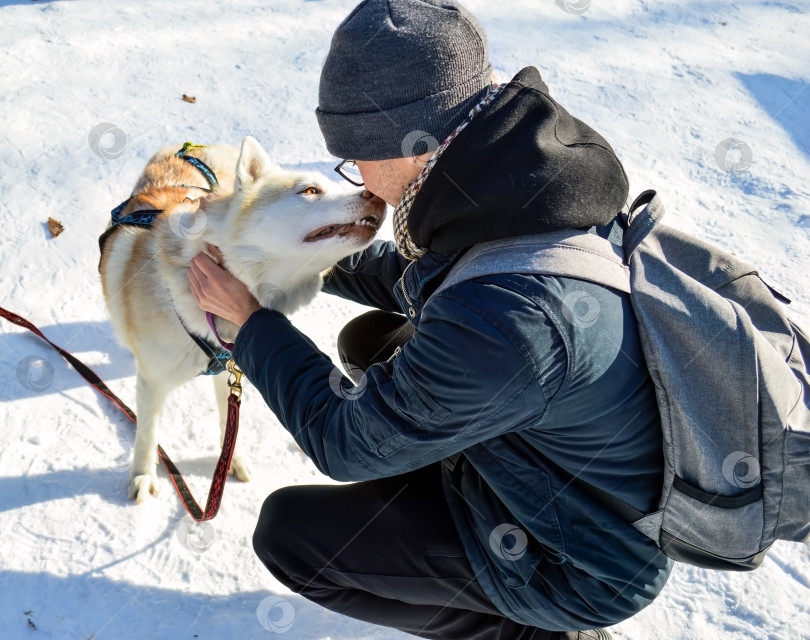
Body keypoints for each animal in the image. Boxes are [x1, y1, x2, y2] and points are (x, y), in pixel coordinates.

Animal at [100, 138, 386, 502]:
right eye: (310, 190)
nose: (377, 196)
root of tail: (194, 145)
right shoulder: (153, 381)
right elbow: (148, 434)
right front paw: (142, 475)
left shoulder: (231, 368)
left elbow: (228, 420)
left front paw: (229, 462)